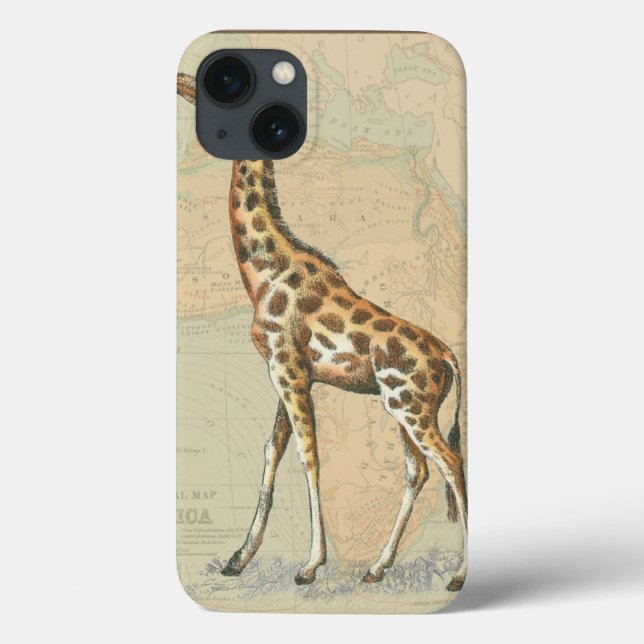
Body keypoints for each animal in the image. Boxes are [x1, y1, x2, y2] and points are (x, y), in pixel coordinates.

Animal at [178, 76, 468, 592]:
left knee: (450, 464)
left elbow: (307, 455)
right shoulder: (286, 369)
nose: (184, 84)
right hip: (404, 409)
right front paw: (238, 559)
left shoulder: (289, 370)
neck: (263, 272)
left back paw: (454, 576)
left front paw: (310, 565)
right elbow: (273, 450)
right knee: (418, 471)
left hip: (410, 408)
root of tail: (450, 358)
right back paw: (377, 567)